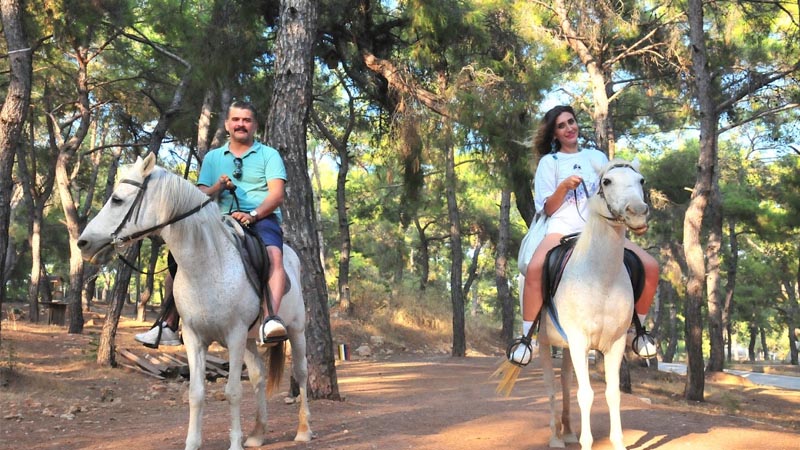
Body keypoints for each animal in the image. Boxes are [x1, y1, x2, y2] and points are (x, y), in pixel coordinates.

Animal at [77, 153, 312, 450]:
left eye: (117, 200)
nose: (83, 243)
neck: (209, 265)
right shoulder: (194, 337)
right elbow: (196, 393)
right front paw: (193, 443)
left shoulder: (234, 335)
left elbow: (233, 391)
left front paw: (234, 444)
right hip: (249, 340)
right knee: (259, 375)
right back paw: (258, 433)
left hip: (295, 330)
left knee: (301, 373)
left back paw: (303, 430)